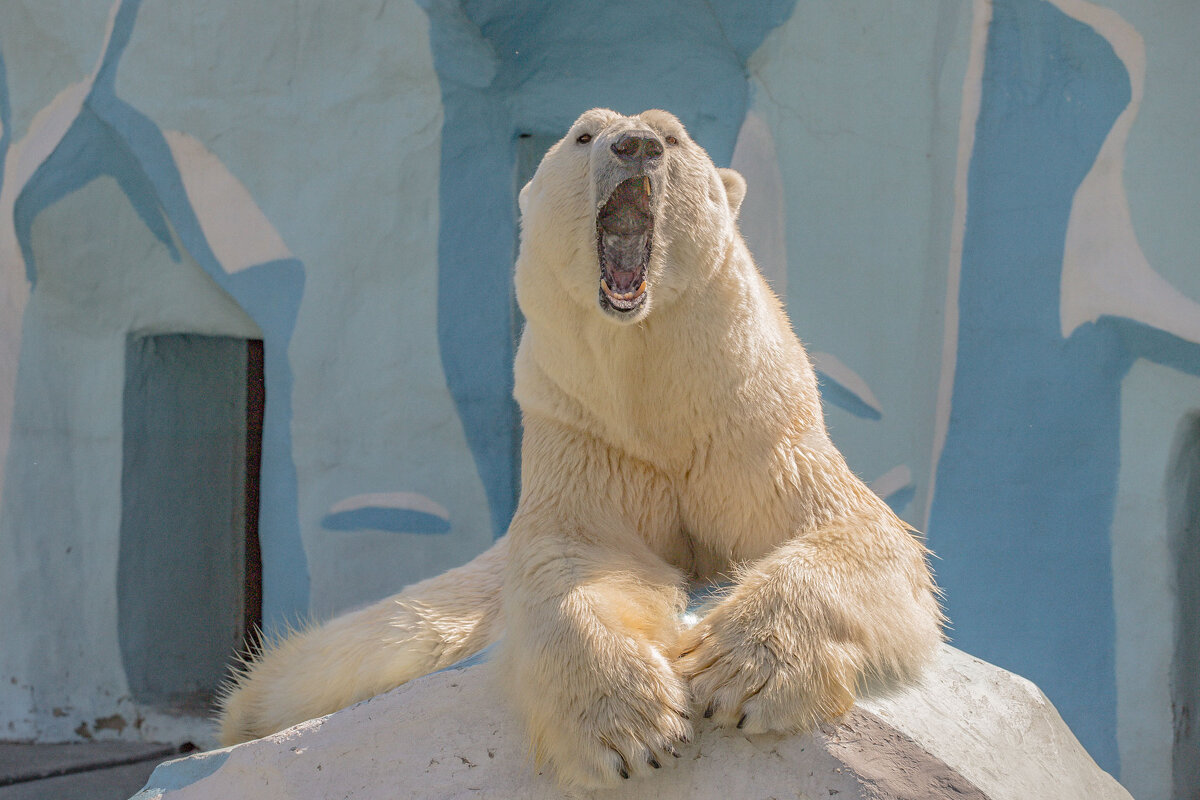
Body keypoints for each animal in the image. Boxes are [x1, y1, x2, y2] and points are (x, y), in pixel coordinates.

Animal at [218, 109, 945, 791]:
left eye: (672, 137)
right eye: (585, 135)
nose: (635, 147)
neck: (650, 385)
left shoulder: (751, 425)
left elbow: (853, 531)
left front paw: (740, 672)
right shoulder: (586, 434)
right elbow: (575, 559)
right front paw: (631, 728)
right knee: (363, 647)